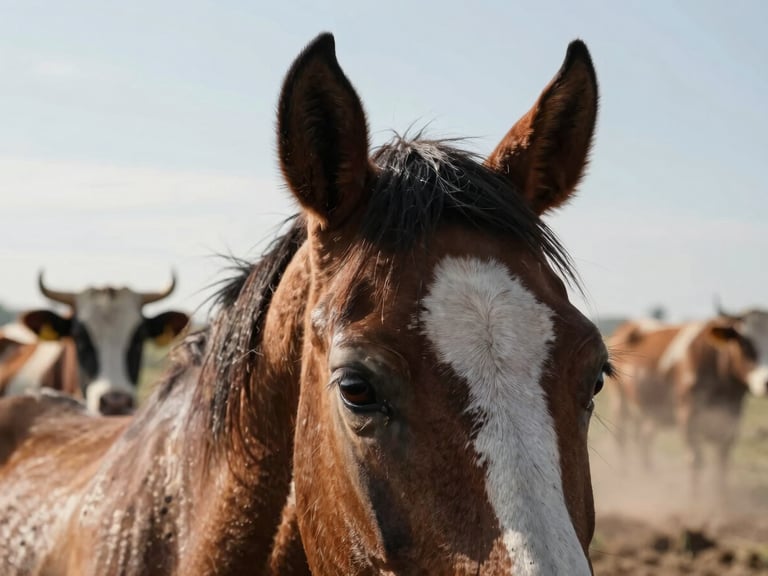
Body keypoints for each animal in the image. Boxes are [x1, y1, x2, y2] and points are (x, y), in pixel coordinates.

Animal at [607, 305, 768, 498]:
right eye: (744, 343)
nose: (766, 382)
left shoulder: (731, 419)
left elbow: (722, 462)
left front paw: (721, 498)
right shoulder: (688, 416)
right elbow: (695, 459)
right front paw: (695, 499)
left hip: (650, 411)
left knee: (645, 439)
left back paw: (649, 476)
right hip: (619, 401)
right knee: (621, 438)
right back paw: (624, 477)